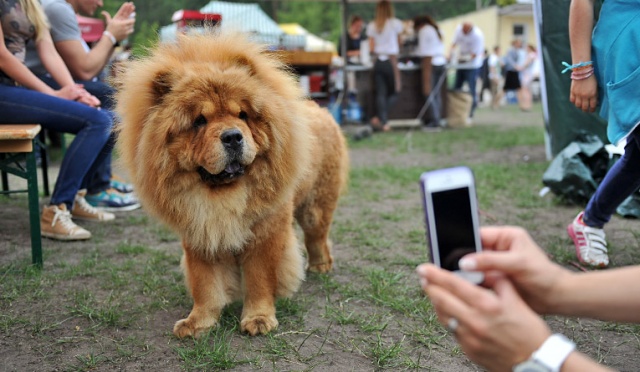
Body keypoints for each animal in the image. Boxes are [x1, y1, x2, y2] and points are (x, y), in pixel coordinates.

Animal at [112, 32, 348, 338]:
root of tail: (320, 109)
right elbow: (205, 285)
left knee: (317, 237)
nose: (233, 136)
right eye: (199, 121)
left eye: (242, 115)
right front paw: (198, 322)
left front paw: (258, 319)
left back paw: (320, 266)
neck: (222, 195)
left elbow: (260, 280)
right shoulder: (199, 236)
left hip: (315, 207)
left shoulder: (265, 234)